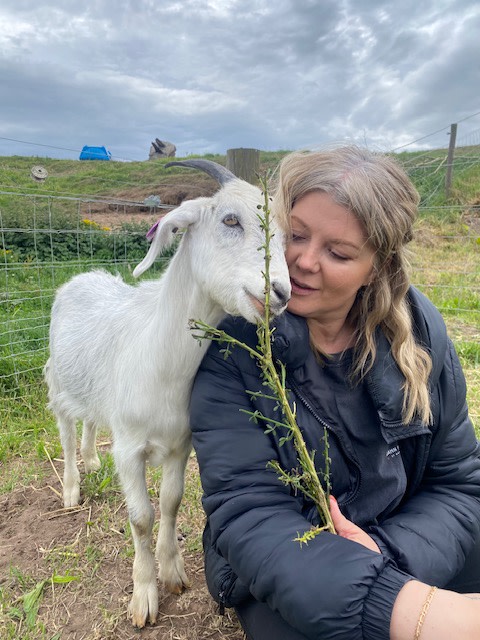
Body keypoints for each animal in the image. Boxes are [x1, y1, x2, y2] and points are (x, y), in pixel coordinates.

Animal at [44, 159, 291, 628]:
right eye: (230, 220)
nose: (282, 293)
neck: (159, 358)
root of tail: (81, 278)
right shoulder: (129, 449)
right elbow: (141, 518)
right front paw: (144, 596)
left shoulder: (181, 444)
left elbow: (172, 502)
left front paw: (173, 572)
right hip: (58, 381)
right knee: (65, 430)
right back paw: (70, 488)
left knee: (89, 420)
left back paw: (91, 458)